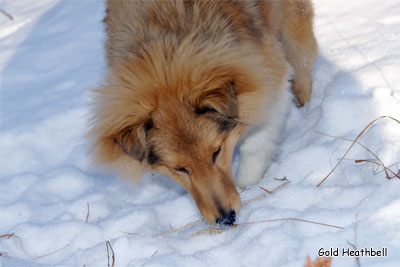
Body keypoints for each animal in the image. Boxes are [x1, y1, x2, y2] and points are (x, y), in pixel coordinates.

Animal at [87, 0, 316, 227]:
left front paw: (247, 183)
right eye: (180, 169)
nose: (226, 219)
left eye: (216, 152)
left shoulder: (264, 76)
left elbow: (255, 142)